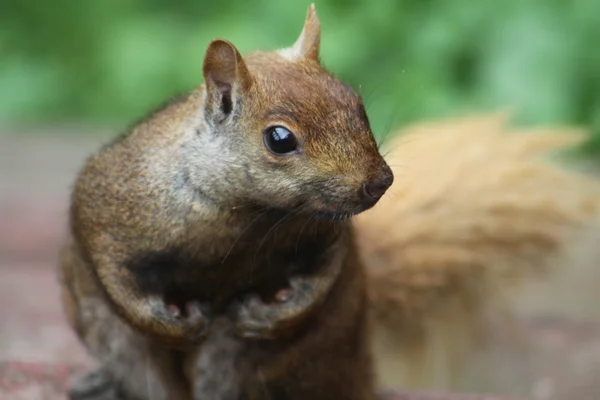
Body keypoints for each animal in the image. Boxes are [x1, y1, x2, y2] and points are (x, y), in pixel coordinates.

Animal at [58, 5, 392, 400]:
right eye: (279, 139)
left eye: (357, 105)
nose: (380, 182)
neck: (252, 216)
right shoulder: (108, 204)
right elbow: (112, 275)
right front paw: (175, 325)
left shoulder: (326, 234)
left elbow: (323, 278)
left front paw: (269, 317)